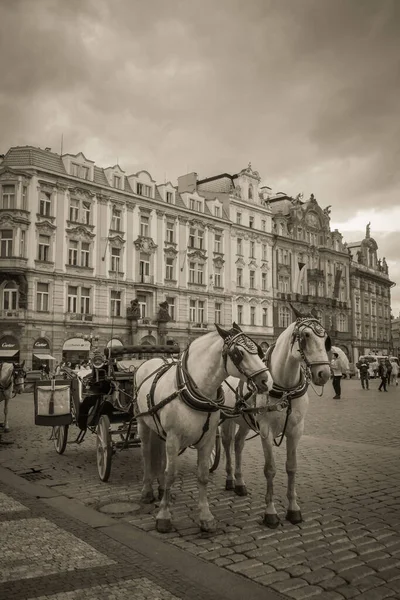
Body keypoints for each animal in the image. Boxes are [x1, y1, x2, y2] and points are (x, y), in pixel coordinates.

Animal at [136, 326, 274, 532]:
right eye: (238, 353)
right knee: (146, 454)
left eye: (258, 350)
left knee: (159, 455)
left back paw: (160, 490)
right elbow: (171, 474)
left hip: (159, 429)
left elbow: (202, 475)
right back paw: (147, 491)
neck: (193, 389)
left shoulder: (207, 439)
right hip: (143, 424)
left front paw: (206, 517)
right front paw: (164, 516)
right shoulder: (173, 438)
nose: (267, 381)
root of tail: (151, 360)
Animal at [220, 310, 330, 524]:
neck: (285, 388)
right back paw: (229, 479)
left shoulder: (296, 431)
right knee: (227, 444)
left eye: (325, 338)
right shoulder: (266, 431)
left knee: (238, 444)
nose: (324, 373)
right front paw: (270, 512)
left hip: (245, 421)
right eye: (305, 336)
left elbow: (291, 467)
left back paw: (240, 483)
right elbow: (270, 469)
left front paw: (293, 509)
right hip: (227, 419)